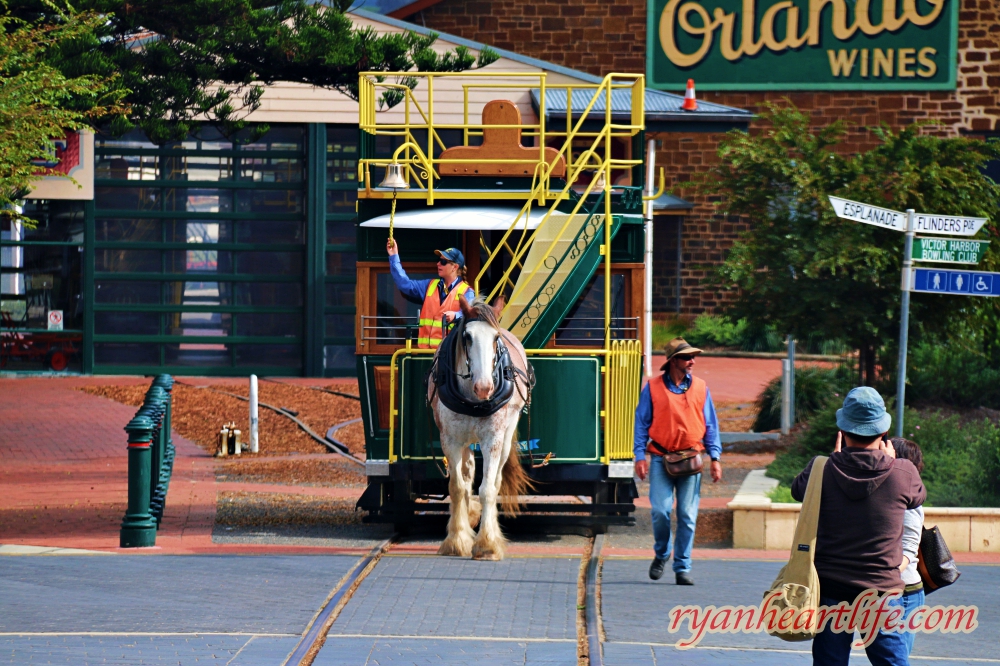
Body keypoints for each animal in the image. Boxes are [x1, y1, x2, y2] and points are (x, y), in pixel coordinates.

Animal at [428, 298, 536, 556]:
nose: (484, 387)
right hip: (465, 442)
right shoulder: (451, 441)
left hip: (506, 437)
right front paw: (457, 540)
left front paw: (487, 543)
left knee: (495, 481)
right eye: (467, 336)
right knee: (467, 476)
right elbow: (457, 487)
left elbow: (487, 488)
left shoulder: (492, 440)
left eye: (496, 338)